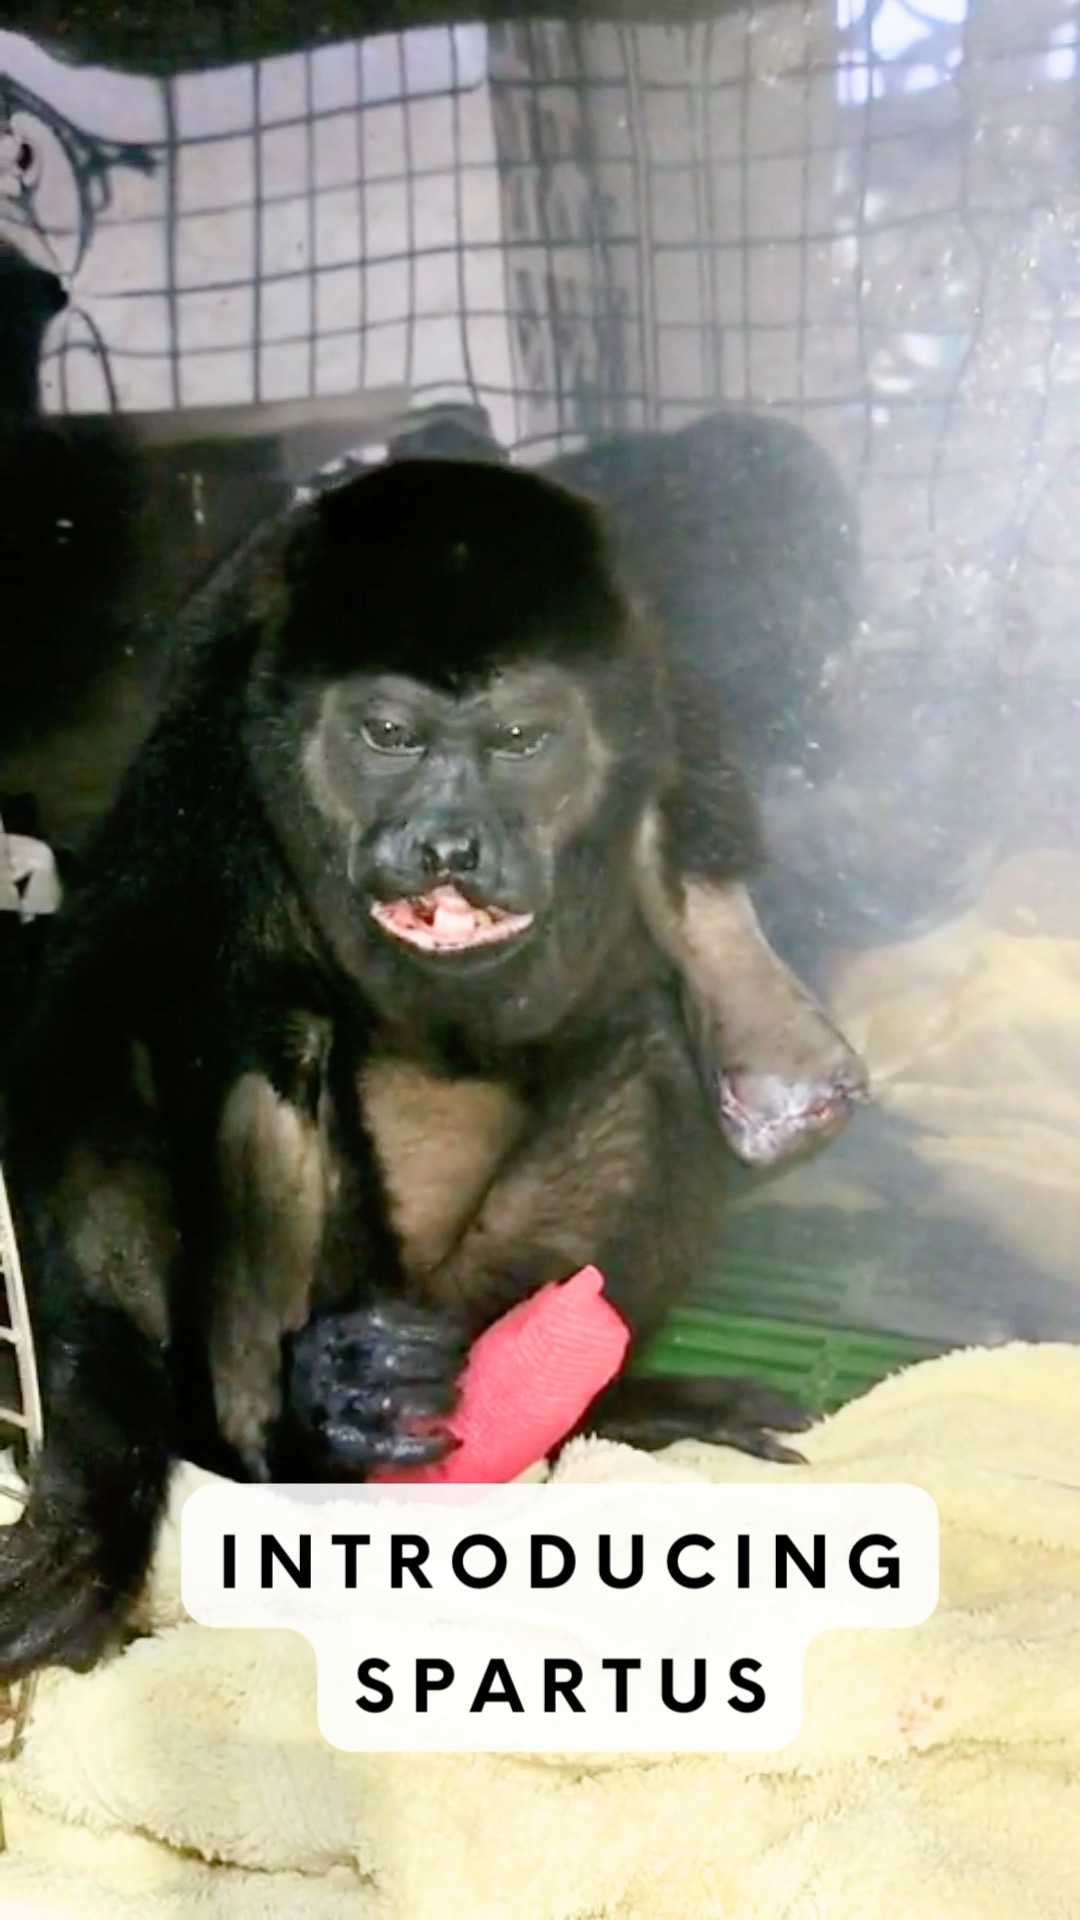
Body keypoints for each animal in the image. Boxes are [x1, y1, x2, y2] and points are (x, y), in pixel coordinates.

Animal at [0, 456, 819, 1682]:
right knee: (274, 1030)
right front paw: (93, 1500)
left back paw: (574, 1401)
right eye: (388, 734)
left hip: (471, 1289)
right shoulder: (201, 753)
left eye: (522, 740)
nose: (447, 845)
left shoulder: (671, 710)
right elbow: (97, 1033)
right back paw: (327, 1423)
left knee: (644, 1046)